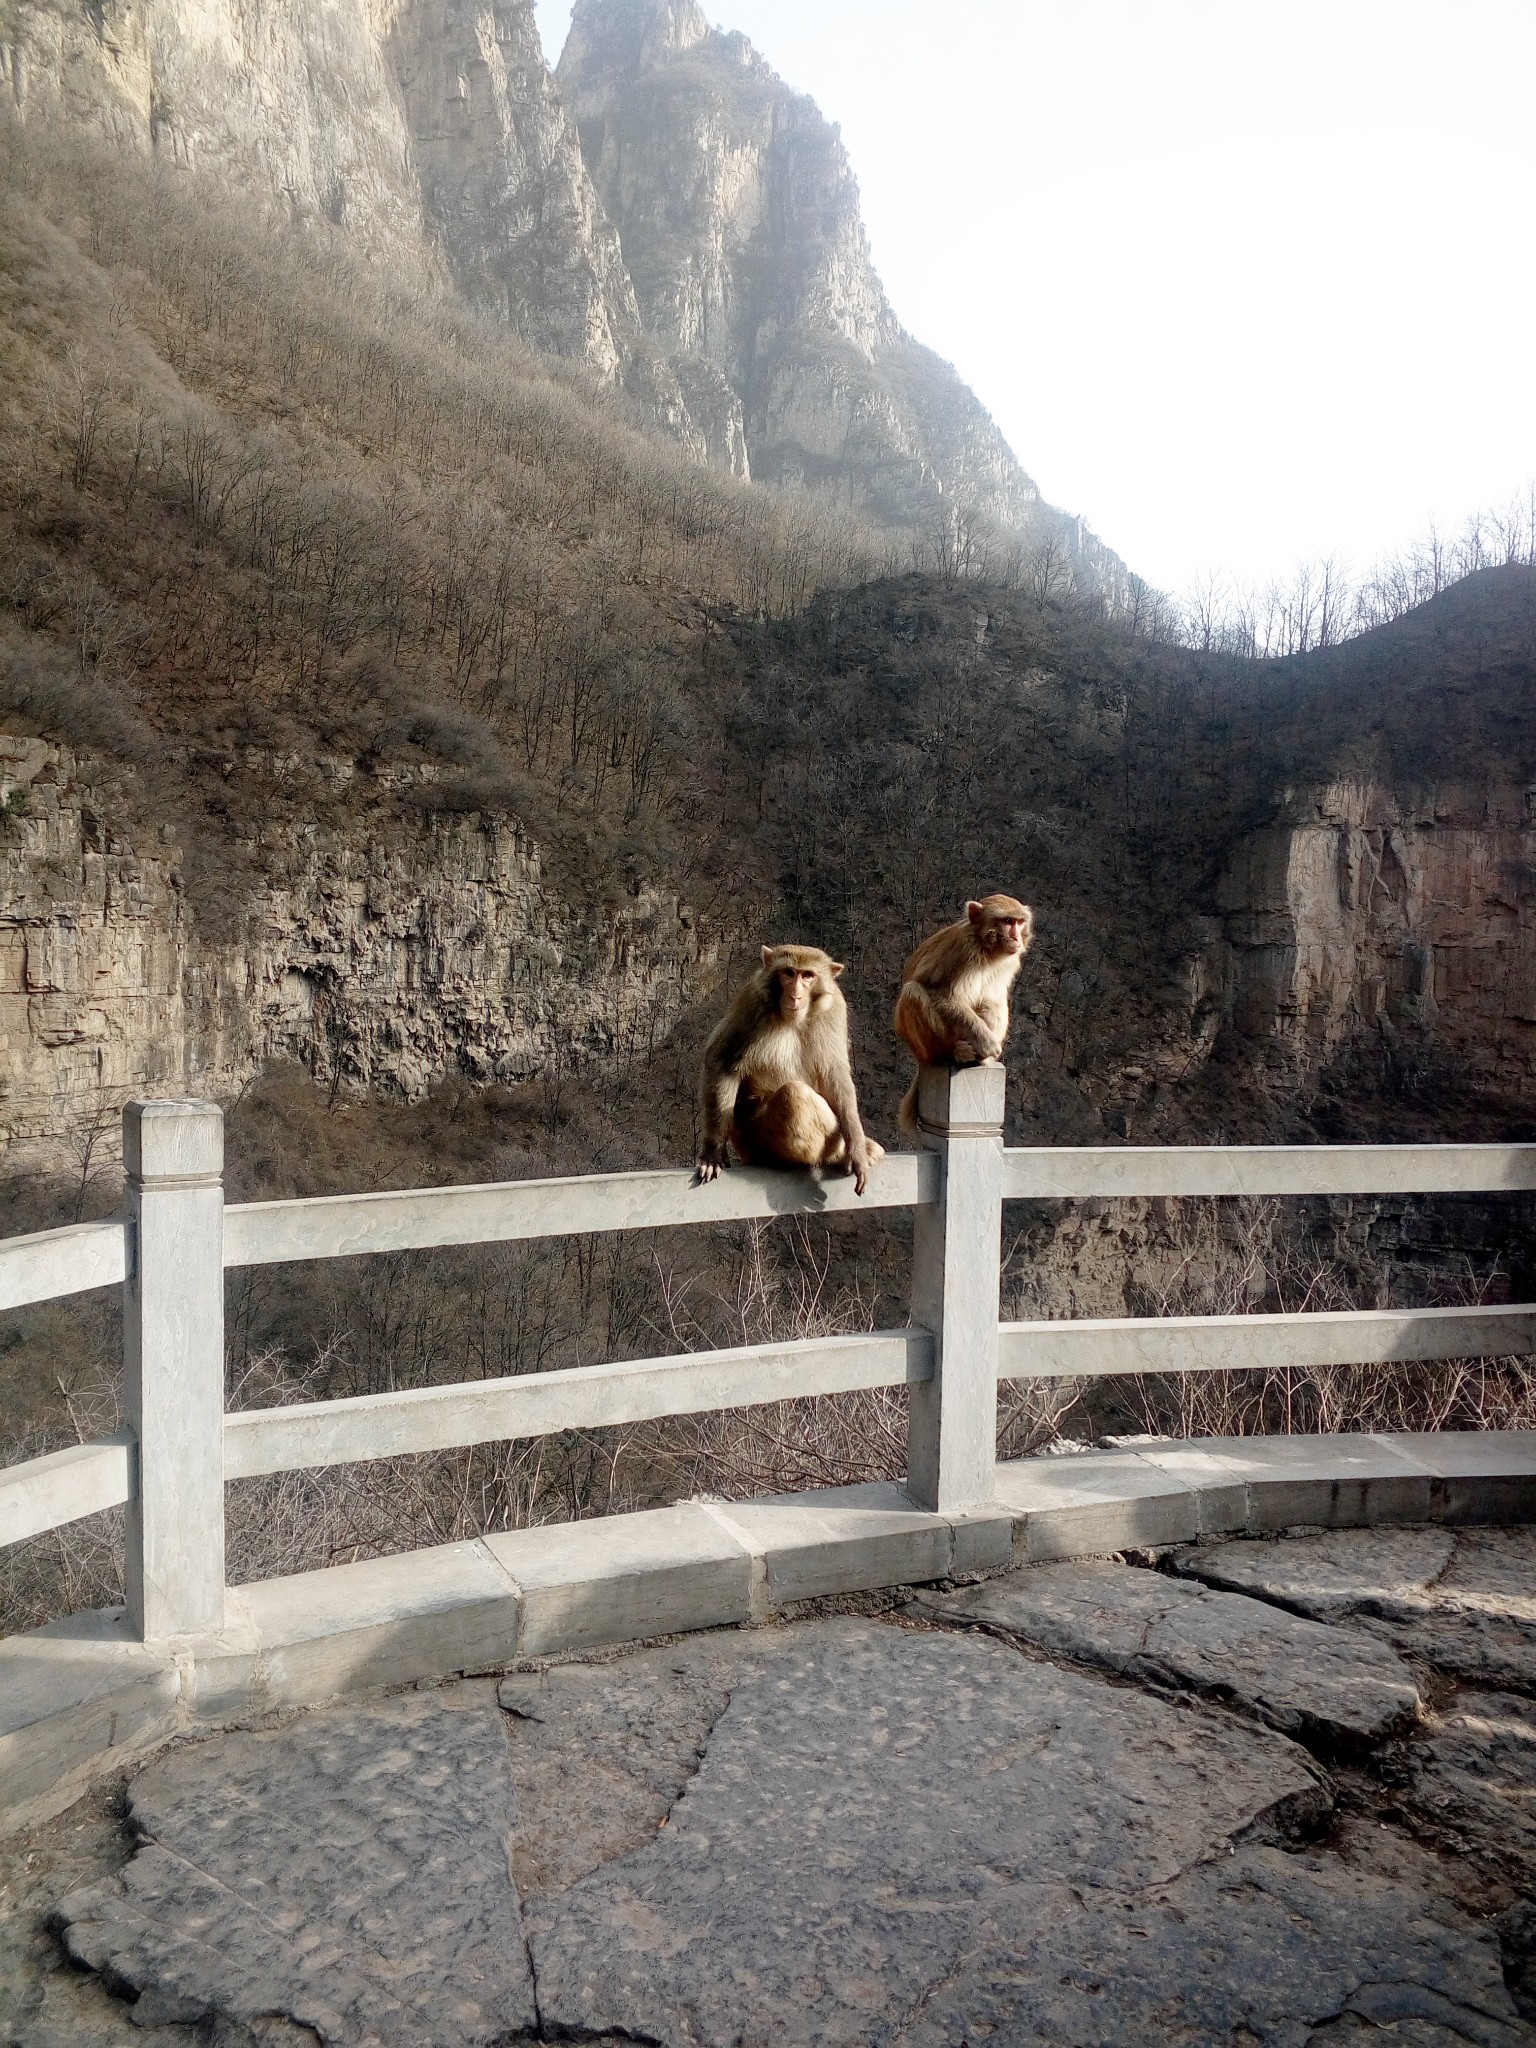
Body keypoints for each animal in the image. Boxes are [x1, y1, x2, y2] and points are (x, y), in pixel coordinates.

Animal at [888, 888, 1036, 1130]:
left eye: (1019, 922)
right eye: (1007, 921)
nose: (1015, 937)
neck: (984, 948)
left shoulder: (1009, 961)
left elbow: (991, 999)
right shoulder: (961, 952)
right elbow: (938, 992)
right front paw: (987, 1043)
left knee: (993, 1000)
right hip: (924, 1046)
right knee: (912, 992)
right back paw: (952, 1053)